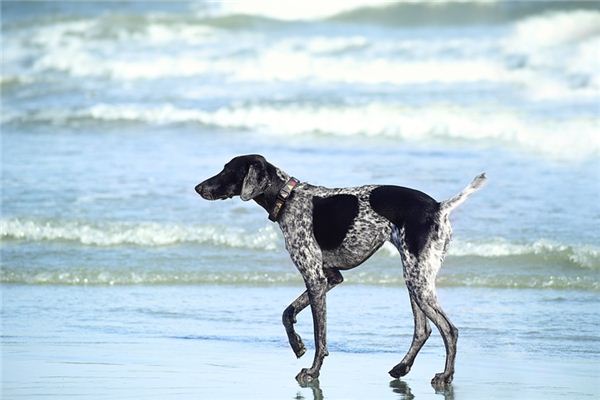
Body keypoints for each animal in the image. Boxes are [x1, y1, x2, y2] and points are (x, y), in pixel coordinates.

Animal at [195, 153, 486, 384]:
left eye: (227, 171)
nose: (198, 187)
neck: (287, 198)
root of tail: (439, 207)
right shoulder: (330, 277)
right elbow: (288, 313)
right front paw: (297, 345)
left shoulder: (315, 279)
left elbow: (319, 336)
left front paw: (312, 371)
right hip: (415, 280)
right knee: (423, 330)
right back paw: (402, 368)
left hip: (418, 281)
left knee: (449, 330)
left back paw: (446, 376)